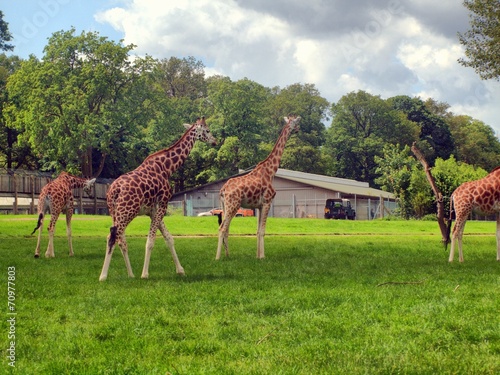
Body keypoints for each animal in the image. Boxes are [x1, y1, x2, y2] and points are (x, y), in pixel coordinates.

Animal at [98, 117, 216, 282]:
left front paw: (180, 270)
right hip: (128, 211)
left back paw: (130, 274)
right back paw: (103, 276)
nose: (215, 141)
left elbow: (168, 238)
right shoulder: (163, 203)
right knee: (112, 236)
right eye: (207, 130)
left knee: (121, 239)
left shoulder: (152, 210)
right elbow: (151, 240)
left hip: (114, 211)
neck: (167, 168)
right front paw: (145, 274)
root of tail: (115, 190)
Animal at [216, 115, 300, 262]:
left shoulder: (259, 206)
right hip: (233, 205)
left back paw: (228, 256)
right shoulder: (267, 202)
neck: (271, 171)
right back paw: (217, 258)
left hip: (225, 206)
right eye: (295, 122)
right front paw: (263, 257)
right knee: (222, 229)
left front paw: (257, 256)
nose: (298, 129)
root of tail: (223, 190)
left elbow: (257, 231)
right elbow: (262, 231)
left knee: (226, 229)